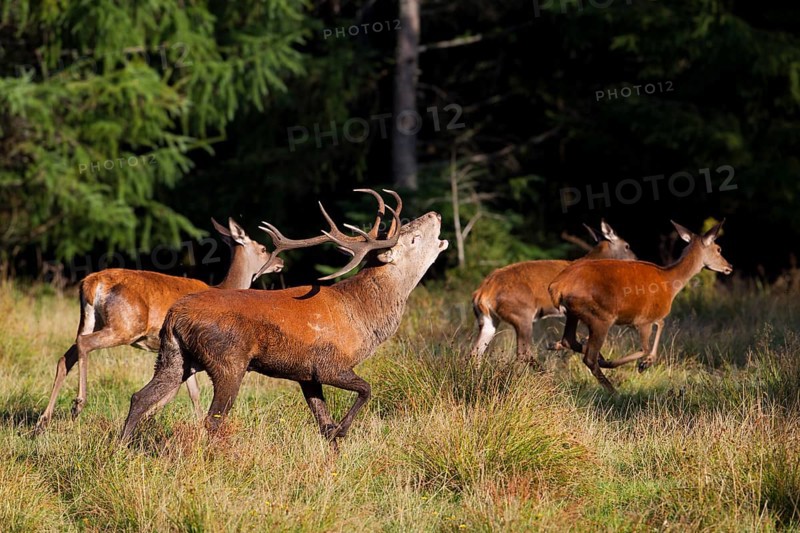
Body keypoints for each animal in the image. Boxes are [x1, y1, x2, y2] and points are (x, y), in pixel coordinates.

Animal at [35, 218, 284, 433]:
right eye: (263, 248)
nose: (280, 263)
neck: (223, 288)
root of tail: (91, 283)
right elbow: (188, 392)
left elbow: (187, 391)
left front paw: (150, 419)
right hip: (125, 326)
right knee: (84, 345)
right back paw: (78, 403)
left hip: (90, 321)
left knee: (66, 357)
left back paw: (43, 421)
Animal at [120, 189, 449, 447]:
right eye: (414, 239)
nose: (435, 213)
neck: (363, 317)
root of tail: (174, 316)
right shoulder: (329, 364)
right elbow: (365, 390)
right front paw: (343, 432)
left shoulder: (307, 374)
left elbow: (323, 424)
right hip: (228, 361)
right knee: (212, 419)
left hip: (175, 357)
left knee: (140, 397)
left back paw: (121, 449)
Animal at [470, 221, 636, 363]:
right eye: (627, 246)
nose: (636, 259)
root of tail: (482, 293)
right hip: (521, 313)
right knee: (523, 353)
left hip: (489, 319)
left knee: (475, 352)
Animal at [548, 219, 732, 393]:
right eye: (719, 249)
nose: (729, 267)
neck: (670, 283)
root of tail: (557, 287)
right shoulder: (644, 319)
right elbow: (645, 347)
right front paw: (637, 364)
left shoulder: (640, 317)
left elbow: (661, 324)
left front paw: (647, 362)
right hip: (600, 316)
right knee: (589, 358)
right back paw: (613, 389)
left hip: (573, 314)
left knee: (569, 340)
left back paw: (558, 346)